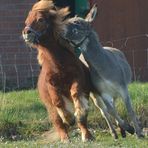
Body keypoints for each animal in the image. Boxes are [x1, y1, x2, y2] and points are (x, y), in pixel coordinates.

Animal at [22, 0, 93, 142]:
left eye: (40, 19)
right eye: (26, 22)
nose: (26, 32)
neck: (58, 65)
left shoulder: (77, 77)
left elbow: (75, 93)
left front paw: (76, 114)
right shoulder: (51, 84)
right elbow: (57, 101)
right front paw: (68, 118)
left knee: (83, 121)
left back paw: (87, 135)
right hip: (50, 110)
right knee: (58, 123)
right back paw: (65, 138)